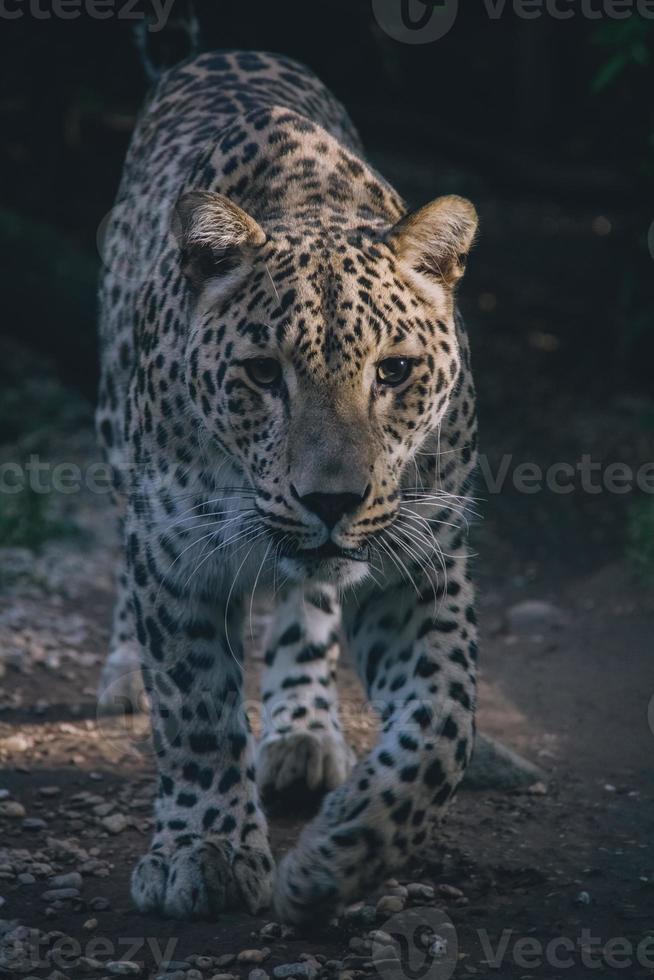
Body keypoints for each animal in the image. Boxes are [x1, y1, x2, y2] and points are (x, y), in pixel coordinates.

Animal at [93, 49, 482, 928]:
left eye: (394, 372)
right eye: (263, 375)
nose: (331, 502)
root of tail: (221, 52)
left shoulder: (422, 559)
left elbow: (443, 719)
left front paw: (344, 853)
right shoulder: (176, 556)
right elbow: (197, 707)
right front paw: (204, 849)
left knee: (311, 606)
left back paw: (303, 731)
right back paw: (126, 670)